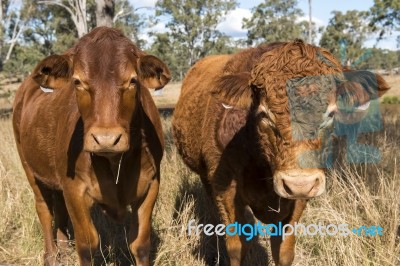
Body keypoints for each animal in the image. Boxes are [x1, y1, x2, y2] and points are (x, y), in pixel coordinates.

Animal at [12, 27, 170, 266]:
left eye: (133, 80)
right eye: (77, 81)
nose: (106, 139)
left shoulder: (151, 183)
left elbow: (140, 244)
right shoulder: (75, 188)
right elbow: (87, 245)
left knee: (59, 209)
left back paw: (64, 248)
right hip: (29, 167)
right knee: (44, 209)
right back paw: (51, 255)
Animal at [171, 40, 388, 266]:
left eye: (331, 113)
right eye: (265, 115)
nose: (299, 183)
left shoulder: (297, 201)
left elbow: (283, 250)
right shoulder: (225, 189)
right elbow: (236, 247)